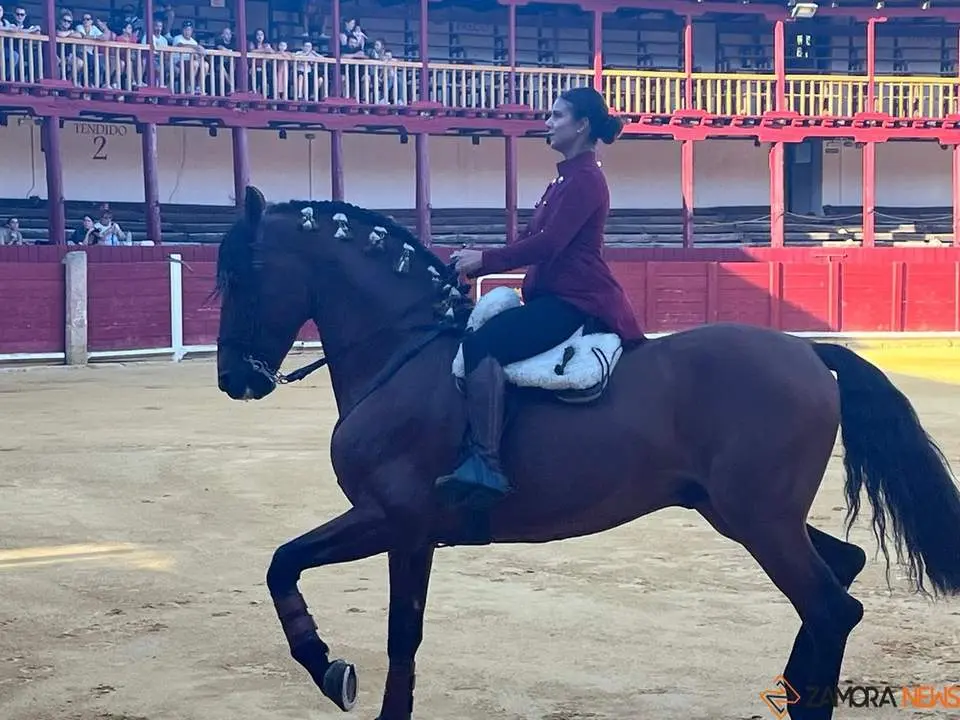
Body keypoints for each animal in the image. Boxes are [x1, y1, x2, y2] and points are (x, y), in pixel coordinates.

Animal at [213, 186, 960, 720]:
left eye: (241, 278)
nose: (234, 380)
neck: (404, 355)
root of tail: (809, 353)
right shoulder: (398, 527)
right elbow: (300, 574)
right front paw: (331, 667)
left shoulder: (397, 521)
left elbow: (365, 611)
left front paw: (331, 670)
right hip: (739, 514)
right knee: (840, 578)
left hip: (760, 521)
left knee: (831, 607)